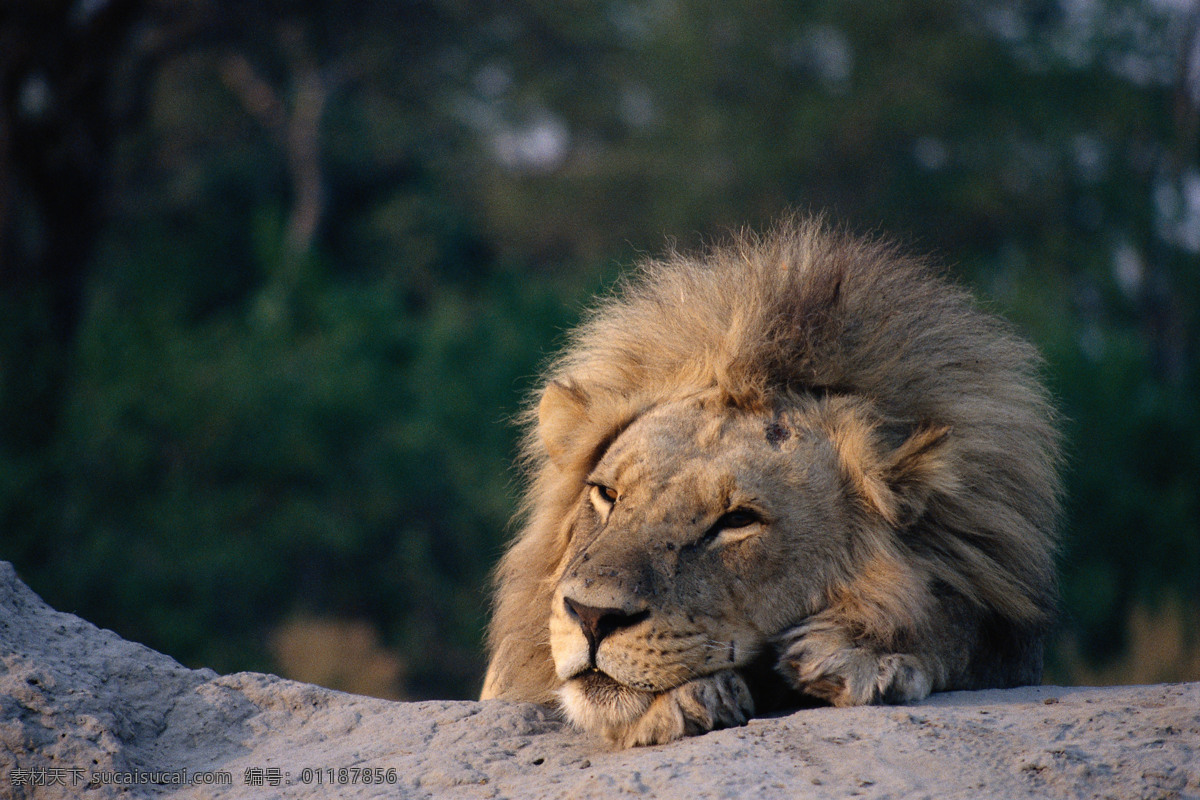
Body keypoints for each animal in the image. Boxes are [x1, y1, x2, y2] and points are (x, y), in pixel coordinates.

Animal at [477, 215, 1060, 748]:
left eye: (738, 520)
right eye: (607, 495)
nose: (592, 616)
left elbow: (958, 621)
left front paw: (860, 652)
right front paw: (674, 703)